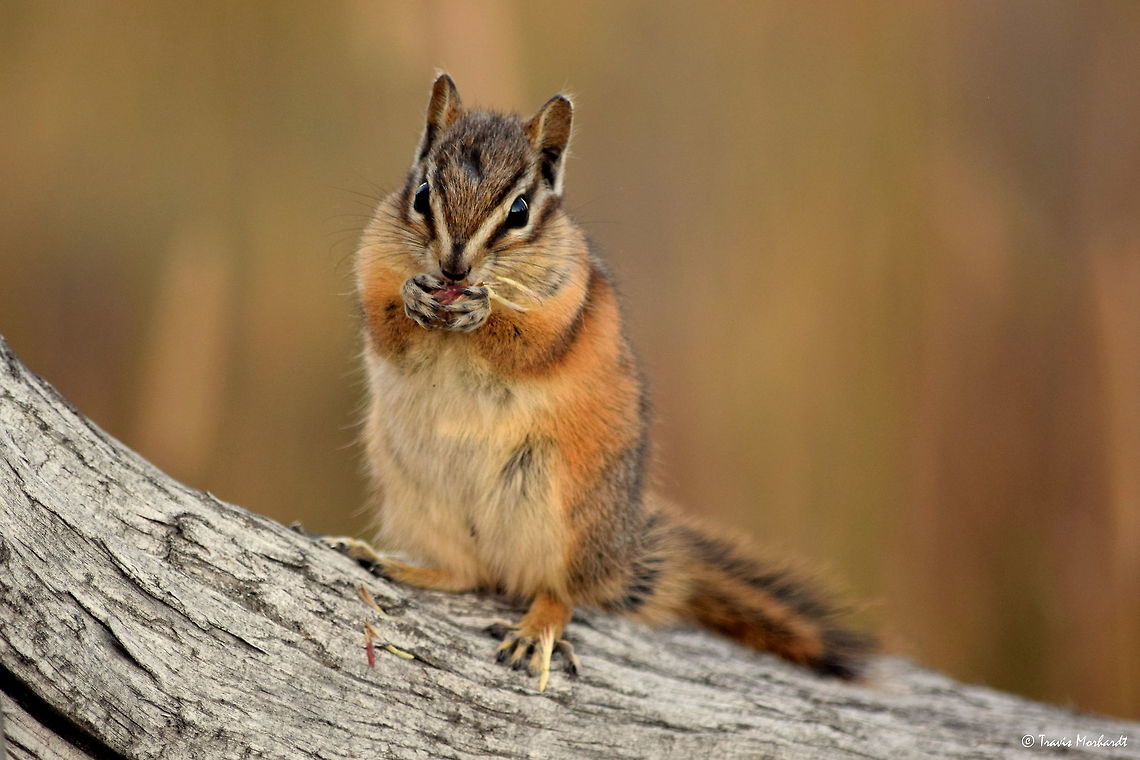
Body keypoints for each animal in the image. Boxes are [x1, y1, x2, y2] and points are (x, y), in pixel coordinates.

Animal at [327, 73, 872, 691]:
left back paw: (535, 630)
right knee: (469, 574)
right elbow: (384, 322)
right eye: (421, 195)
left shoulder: (565, 305)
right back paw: (389, 562)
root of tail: (618, 557)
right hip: (418, 498)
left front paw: (482, 312)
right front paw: (415, 298)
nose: (454, 270)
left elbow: (527, 341)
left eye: (519, 211)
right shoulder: (372, 265)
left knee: (558, 592)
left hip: (560, 518)